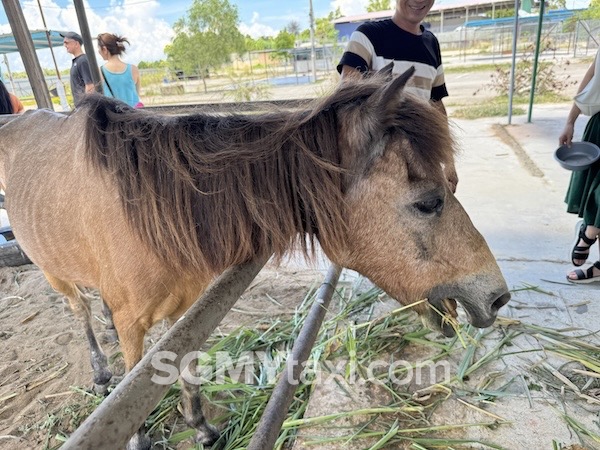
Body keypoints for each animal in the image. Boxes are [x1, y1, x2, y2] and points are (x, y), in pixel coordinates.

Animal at [0, 68, 508, 448]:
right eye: (428, 202)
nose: (497, 297)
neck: (148, 208)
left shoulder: (189, 311)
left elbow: (185, 365)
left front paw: (202, 428)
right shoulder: (132, 324)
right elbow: (132, 387)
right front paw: (141, 436)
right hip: (53, 272)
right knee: (79, 311)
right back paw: (100, 370)